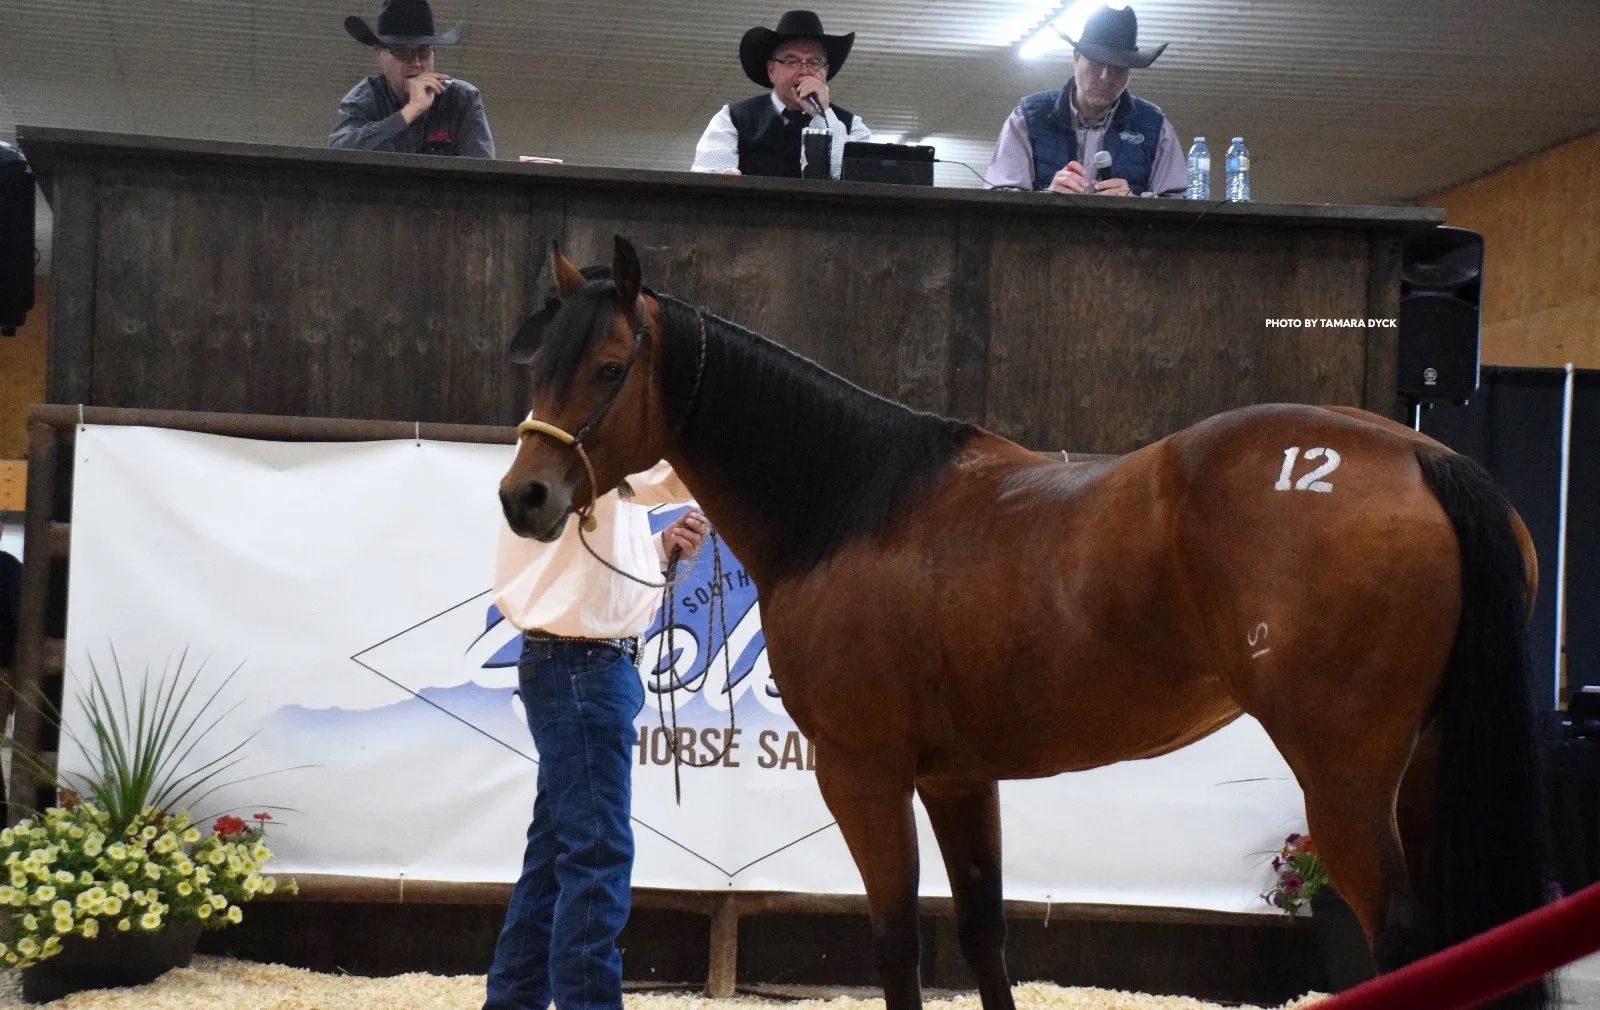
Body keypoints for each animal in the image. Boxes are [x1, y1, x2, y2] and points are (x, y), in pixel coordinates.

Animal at [498, 237, 1551, 1010]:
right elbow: (982, 934)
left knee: (1408, 943)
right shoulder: (961, 777)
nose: (524, 496)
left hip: (1346, 782)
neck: (852, 504)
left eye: (607, 367)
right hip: (1426, 773)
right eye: (538, 364)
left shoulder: (863, 773)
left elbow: (895, 941)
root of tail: (1419, 456)